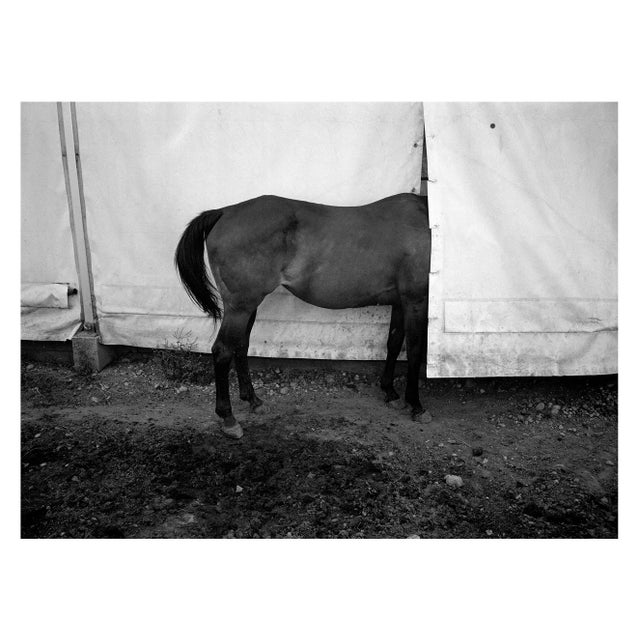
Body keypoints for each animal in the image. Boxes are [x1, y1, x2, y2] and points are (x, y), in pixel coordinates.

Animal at [175, 193, 431, 439]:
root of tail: (223, 212)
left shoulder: (400, 302)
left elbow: (394, 344)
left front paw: (390, 391)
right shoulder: (416, 300)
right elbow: (415, 349)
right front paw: (416, 404)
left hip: (247, 306)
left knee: (240, 346)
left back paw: (253, 400)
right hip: (240, 307)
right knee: (223, 350)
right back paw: (229, 418)